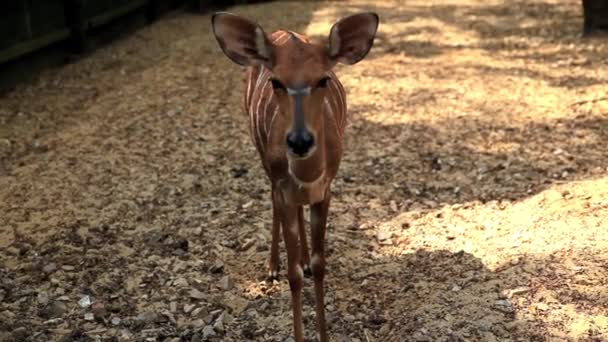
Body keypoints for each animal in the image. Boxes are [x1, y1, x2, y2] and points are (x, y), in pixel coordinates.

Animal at [211, 10, 378, 342]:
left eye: (323, 79)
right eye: (276, 81)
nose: (299, 141)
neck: (308, 176)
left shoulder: (325, 192)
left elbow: (320, 264)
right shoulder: (284, 188)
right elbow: (293, 275)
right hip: (263, 159)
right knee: (272, 200)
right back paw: (272, 266)